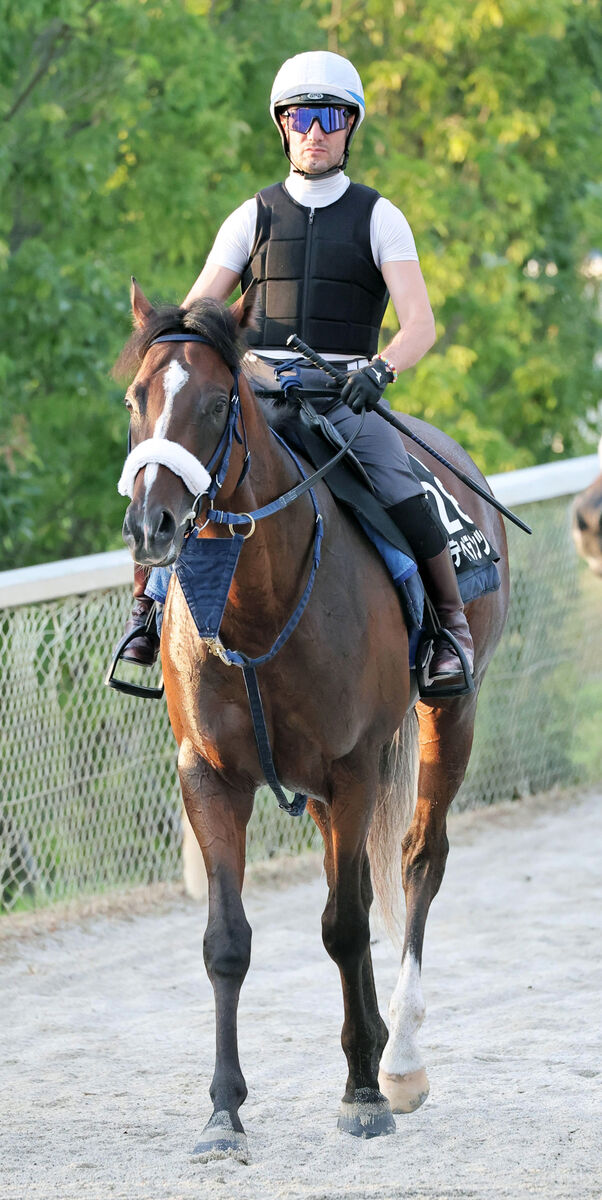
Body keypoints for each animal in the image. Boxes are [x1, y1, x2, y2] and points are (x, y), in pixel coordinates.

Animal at [116, 280, 508, 1161]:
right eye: (136, 399)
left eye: (217, 402)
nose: (152, 524)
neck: (253, 606)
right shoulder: (210, 776)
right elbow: (228, 942)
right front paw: (224, 1114)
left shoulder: (353, 766)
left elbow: (347, 924)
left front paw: (363, 1091)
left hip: (449, 717)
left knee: (417, 862)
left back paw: (398, 1060)